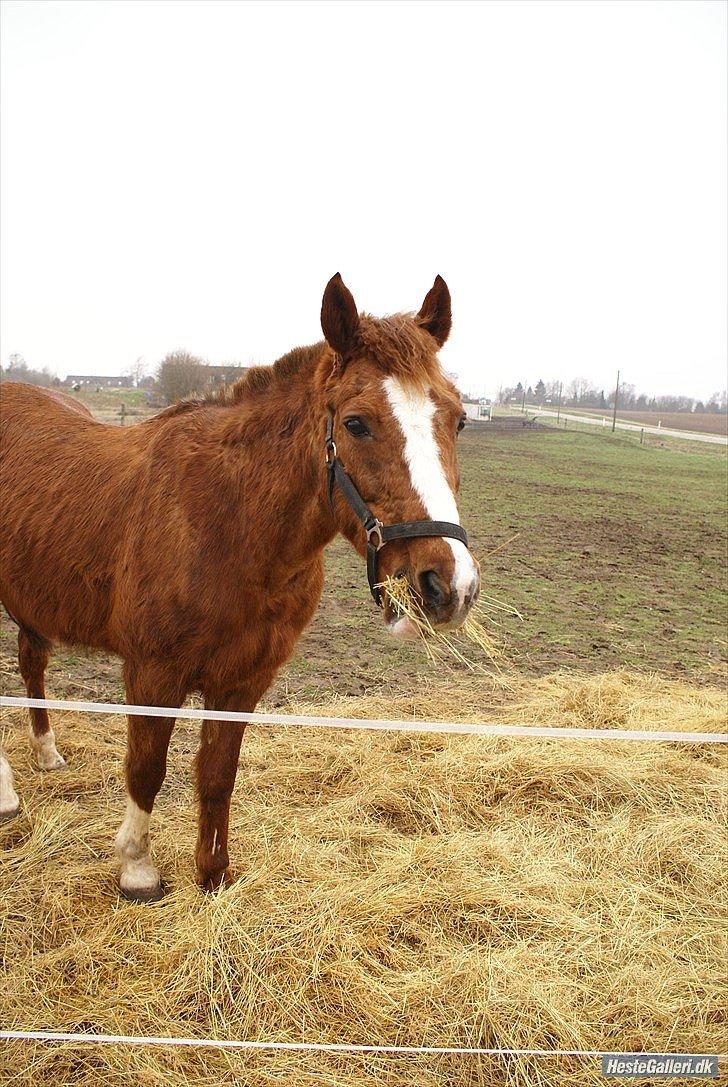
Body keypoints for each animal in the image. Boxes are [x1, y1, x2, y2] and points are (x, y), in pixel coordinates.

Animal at [0, 278, 482, 900]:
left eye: (459, 419)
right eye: (356, 423)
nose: (449, 585)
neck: (227, 522)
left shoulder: (245, 678)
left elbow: (217, 775)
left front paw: (213, 874)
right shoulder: (153, 671)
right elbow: (146, 769)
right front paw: (137, 867)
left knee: (31, 661)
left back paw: (47, 752)